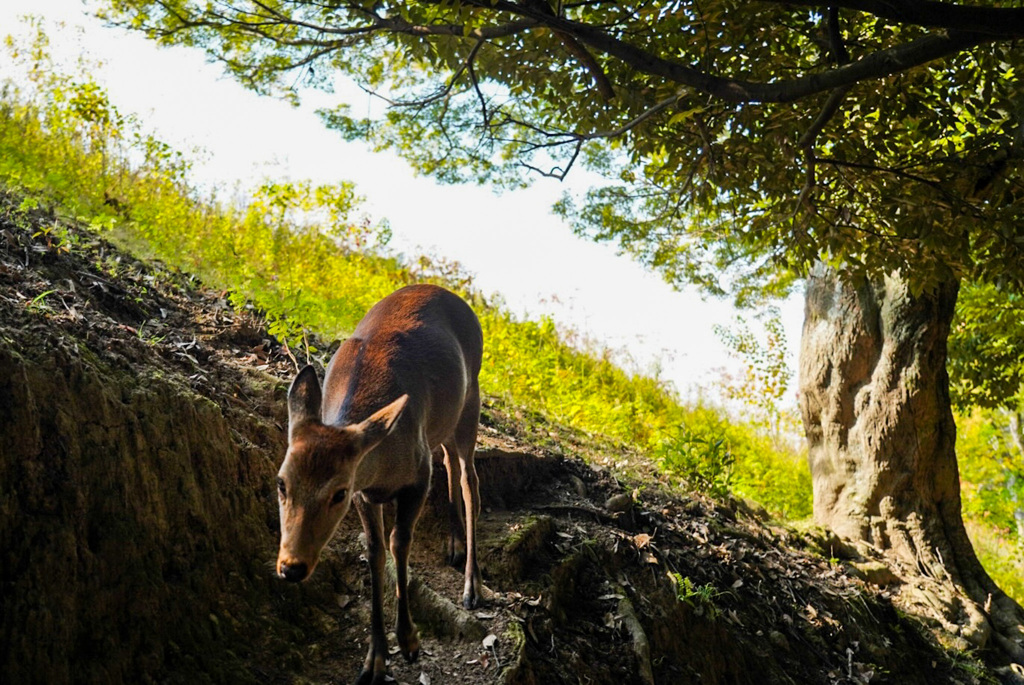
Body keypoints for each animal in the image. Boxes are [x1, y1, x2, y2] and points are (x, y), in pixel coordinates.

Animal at [276, 284, 483, 683]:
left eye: (337, 493)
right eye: (281, 483)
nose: (291, 566)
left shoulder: (418, 473)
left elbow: (399, 542)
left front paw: (410, 642)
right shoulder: (366, 494)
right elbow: (374, 551)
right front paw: (374, 661)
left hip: (472, 398)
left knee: (470, 479)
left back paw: (472, 587)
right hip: (445, 421)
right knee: (450, 460)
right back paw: (453, 546)